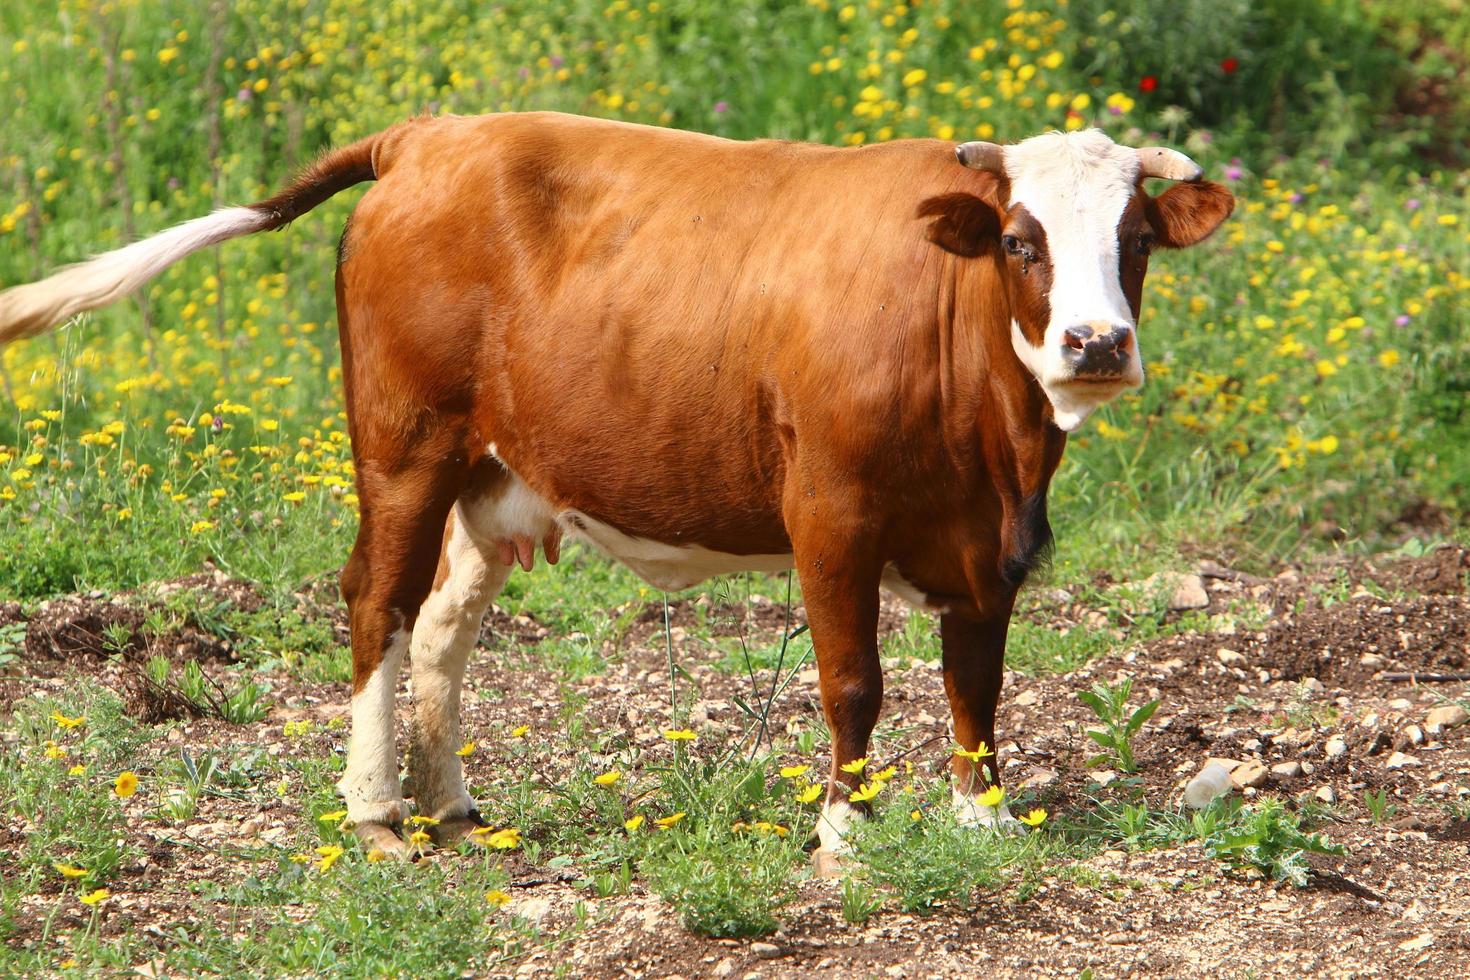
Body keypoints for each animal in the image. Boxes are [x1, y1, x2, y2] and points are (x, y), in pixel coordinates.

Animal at [0, 113, 1234, 858]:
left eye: (1135, 240)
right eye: (1022, 241)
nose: (1094, 344)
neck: (994, 436)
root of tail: (430, 134)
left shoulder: (992, 541)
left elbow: (977, 684)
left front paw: (983, 817)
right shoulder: (831, 514)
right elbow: (854, 682)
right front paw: (846, 833)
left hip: (492, 477)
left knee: (440, 627)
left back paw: (452, 803)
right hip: (404, 452)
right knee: (376, 605)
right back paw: (379, 814)